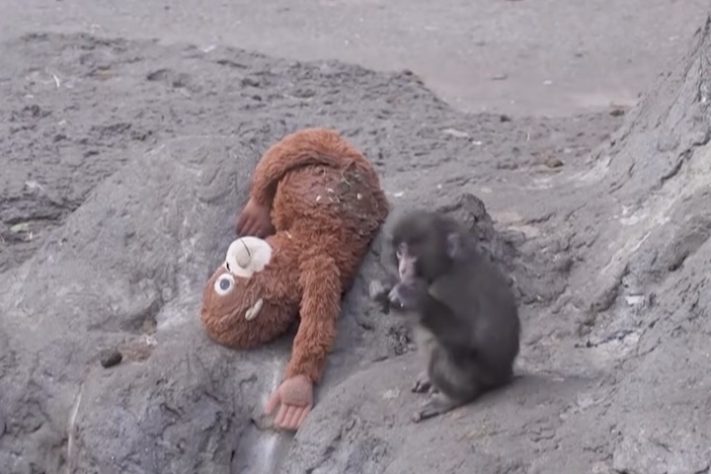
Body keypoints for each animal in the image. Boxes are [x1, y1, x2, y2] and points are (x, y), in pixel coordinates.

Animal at [382, 209, 520, 422]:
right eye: (399, 252)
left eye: (412, 253)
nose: (402, 269)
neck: (448, 266)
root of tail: (506, 373)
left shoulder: (450, 287)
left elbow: (465, 340)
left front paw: (413, 297)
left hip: (481, 376)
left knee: (439, 349)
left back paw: (457, 397)